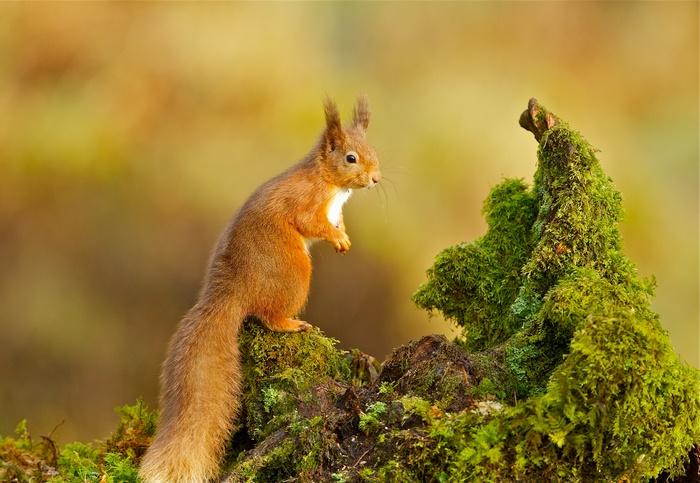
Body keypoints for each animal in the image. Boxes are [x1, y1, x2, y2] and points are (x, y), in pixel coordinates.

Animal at [138, 95, 381, 483]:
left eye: (373, 150)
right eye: (350, 158)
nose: (375, 178)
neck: (329, 183)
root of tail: (231, 294)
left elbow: (337, 222)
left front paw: (343, 236)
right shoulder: (307, 202)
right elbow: (313, 223)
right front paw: (336, 236)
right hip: (294, 273)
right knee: (267, 315)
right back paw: (292, 324)